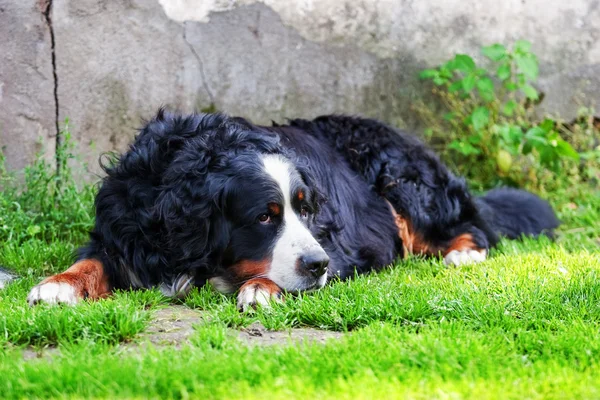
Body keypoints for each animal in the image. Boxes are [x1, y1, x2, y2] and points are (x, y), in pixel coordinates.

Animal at [25, 111, 560, 310]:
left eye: (305, 209)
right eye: (264, 216)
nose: (317, 266)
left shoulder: (341, 246)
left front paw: (262, 289)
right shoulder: (125, 227)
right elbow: (94, 258)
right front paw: (58, 284)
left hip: (404, 181)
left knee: (470, 225)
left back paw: (462, 253)